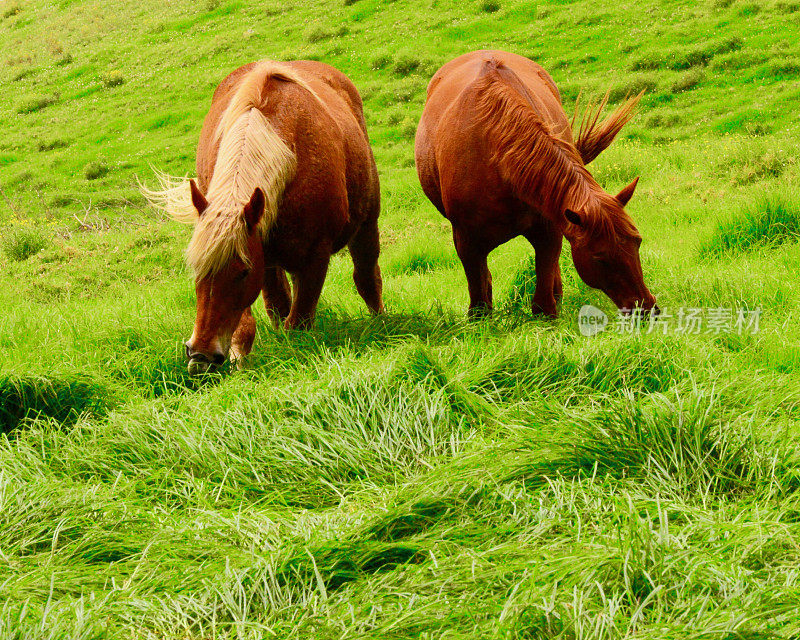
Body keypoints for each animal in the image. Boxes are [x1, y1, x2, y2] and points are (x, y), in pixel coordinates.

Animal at [145, 61, 386, 376]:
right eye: (195, 268)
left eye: (242, 272)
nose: (200, 353)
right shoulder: (263, 254)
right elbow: (260, 318)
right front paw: (239, 362)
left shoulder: (314, 257)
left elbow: (299, 321)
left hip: (366, 226)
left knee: (367, 278)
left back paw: (381, 321)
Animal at [416, 48, 660, 318]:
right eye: (600, 257)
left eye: (638, 241)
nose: (646, 308)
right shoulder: (465, 239)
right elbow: (478, 294)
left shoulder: (551, 228)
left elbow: (544, 294)